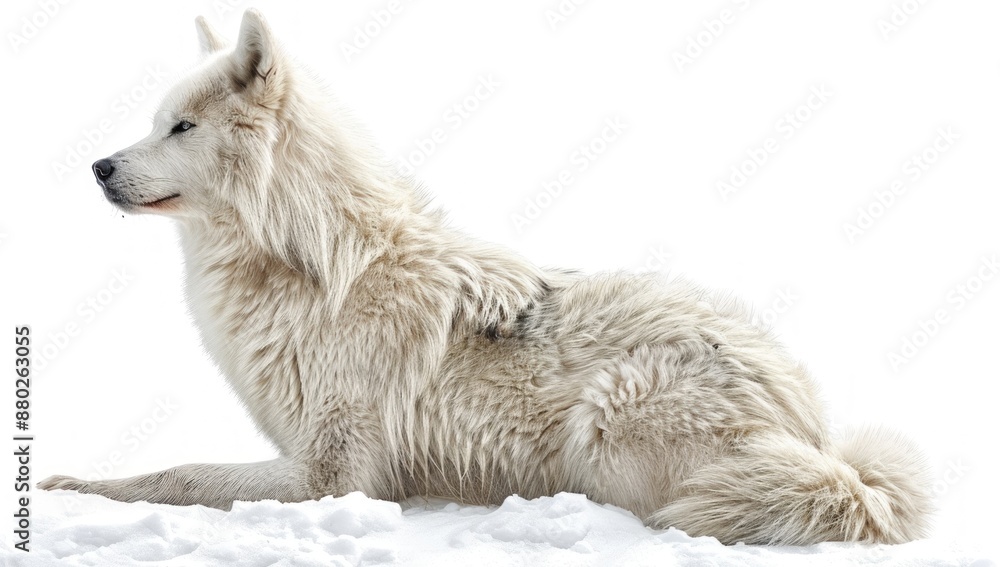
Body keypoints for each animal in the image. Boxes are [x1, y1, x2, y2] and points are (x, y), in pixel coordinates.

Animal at [40, 9, 932, 545]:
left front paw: (70, 484)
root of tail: (820, 432)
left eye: (182, 127)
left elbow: (177, 473)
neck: (311, 261)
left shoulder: (334, 476)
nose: (99, 166)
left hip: (611, 417)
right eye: (157, 123)